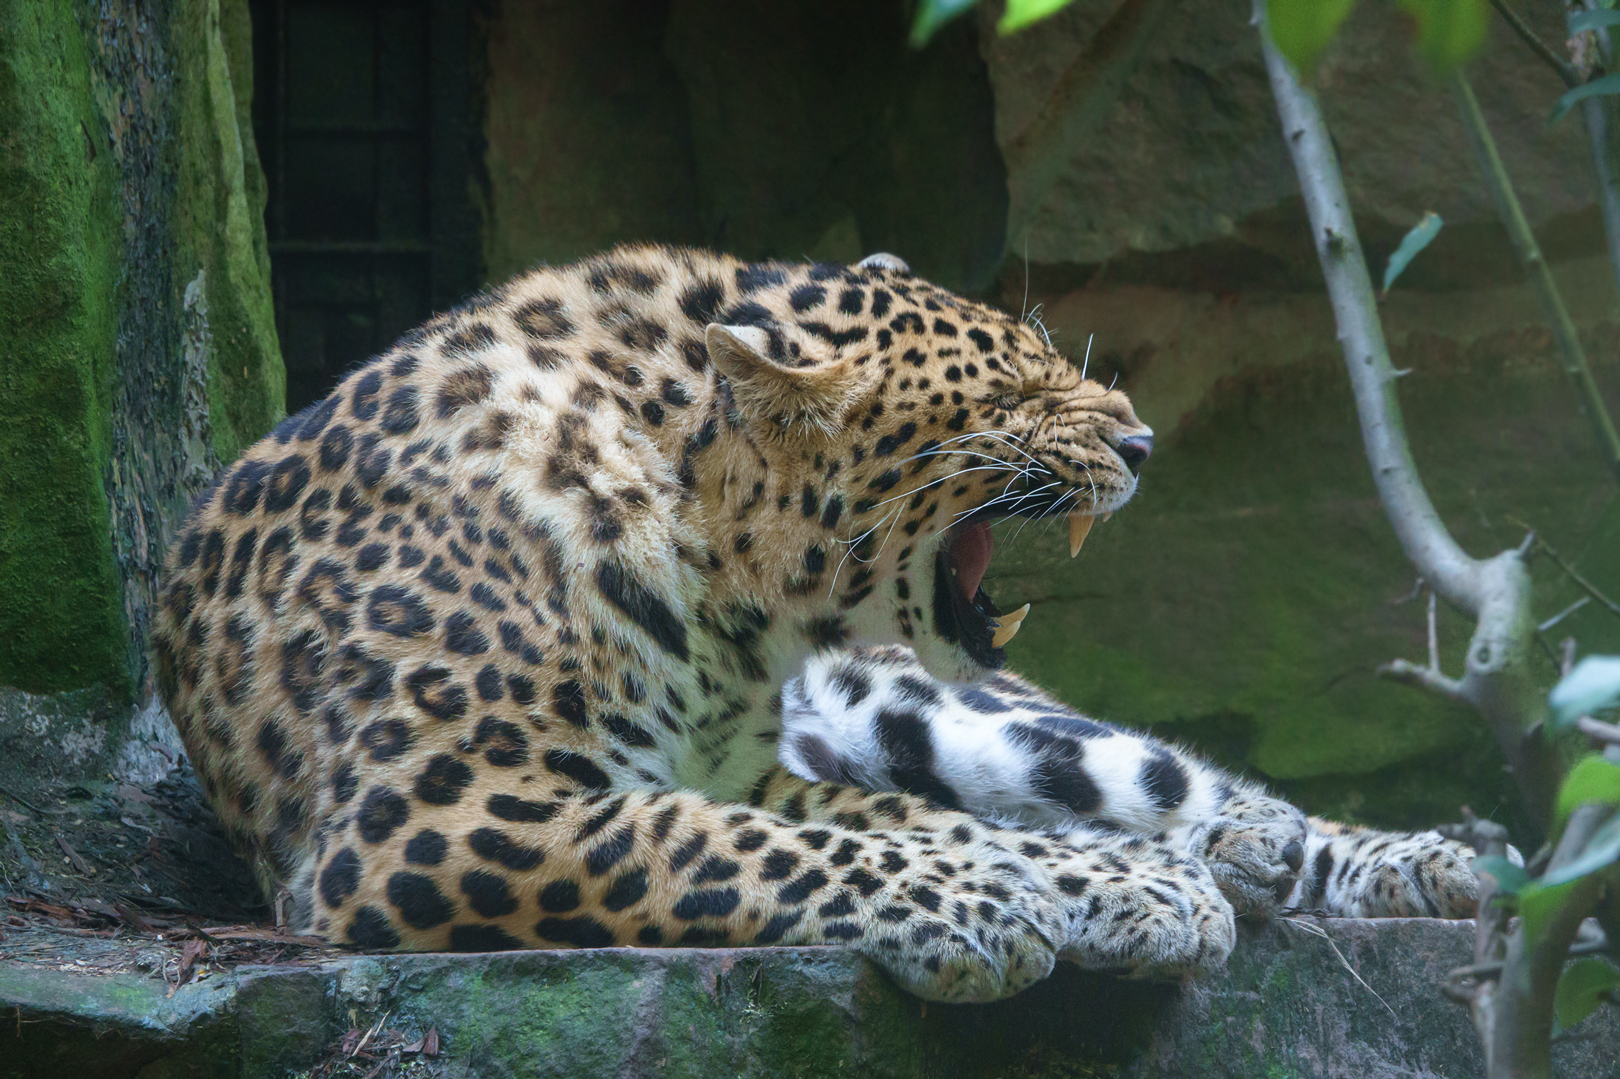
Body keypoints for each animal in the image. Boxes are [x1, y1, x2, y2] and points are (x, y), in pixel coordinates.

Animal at [151, 244, 1478, 1003]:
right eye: (1015, 390)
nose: (1145, 443)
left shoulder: (753, 764)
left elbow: (876, 819)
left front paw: (1116, 880)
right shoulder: (435, 803)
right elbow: (750, 842)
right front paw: (1006, 899)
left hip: (934, 706)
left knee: (1161, 776)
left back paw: (1409, 857)